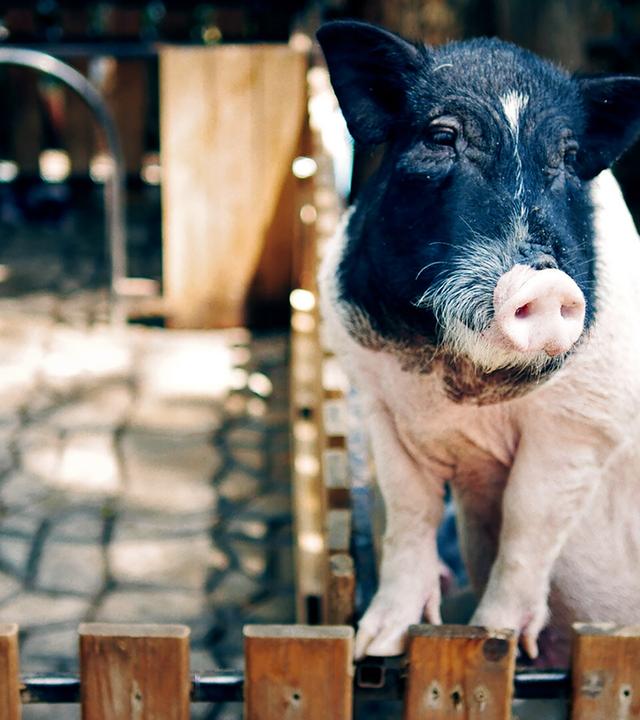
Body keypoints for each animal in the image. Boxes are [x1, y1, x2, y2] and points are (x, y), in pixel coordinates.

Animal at [316, 20, 640, 664]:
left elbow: (527, 517)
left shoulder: (586, 421)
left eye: (568, 156)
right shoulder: (378, 398)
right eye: (442, 135)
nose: (544, 282)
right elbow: (409, 507)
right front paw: (375, 645)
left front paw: (494, 640)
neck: (459, 386)